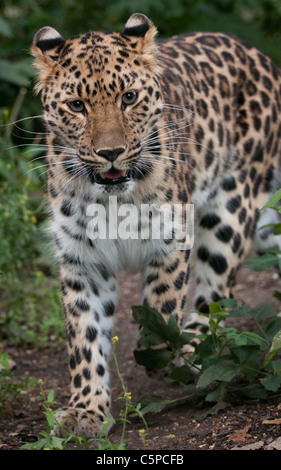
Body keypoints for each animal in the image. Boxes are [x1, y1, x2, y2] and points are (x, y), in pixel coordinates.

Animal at [31, 11, 281, 436]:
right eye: (77, 105)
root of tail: (263, 58)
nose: (111, 152)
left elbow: (163, 304)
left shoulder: (171, 238)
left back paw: (194, 349)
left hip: (233, 207)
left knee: (218, 290)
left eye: (129, 98)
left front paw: (156, 349)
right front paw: (87, 410)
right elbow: (85, 336)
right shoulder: (82, 261)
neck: (112, 199)